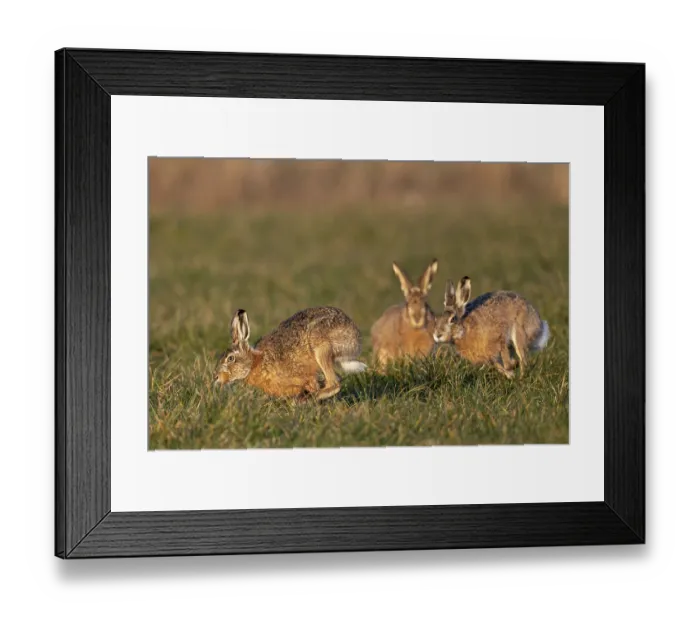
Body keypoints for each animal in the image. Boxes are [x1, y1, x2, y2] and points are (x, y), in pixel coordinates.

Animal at [214, 306, 367, 402]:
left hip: (321, 348)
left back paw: (309, 399)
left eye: (230, 358)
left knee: (334, 383)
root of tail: (356, 341)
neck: (254, 363)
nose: (216, 377)